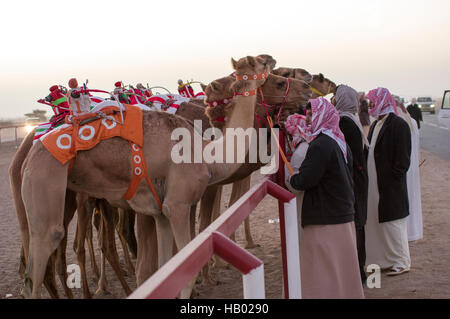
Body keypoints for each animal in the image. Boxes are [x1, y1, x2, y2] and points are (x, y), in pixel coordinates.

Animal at [20, 55, 270, 300]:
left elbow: (165, 268)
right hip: (45, 179)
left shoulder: (161, 212)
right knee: (43, 253)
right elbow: (185, 276)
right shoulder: (178, 204)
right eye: (259, 63)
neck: (208, 155)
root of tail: (30, 153)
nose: (271, 59)